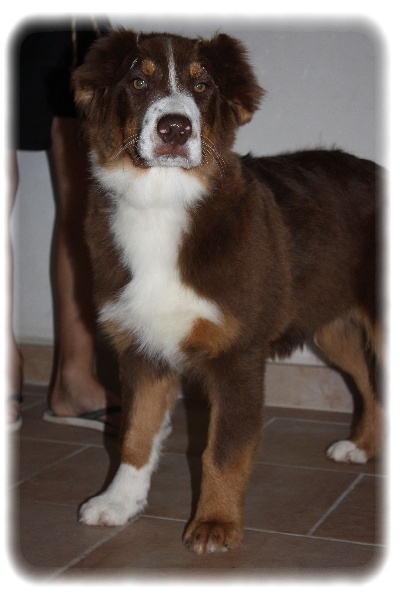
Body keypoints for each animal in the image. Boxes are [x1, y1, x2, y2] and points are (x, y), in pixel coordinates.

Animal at [73, 28, 382, 554]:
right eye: (138, 81)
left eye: (202, 87)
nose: (175, 129)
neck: (163, 202)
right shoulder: (139, 348)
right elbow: (135, 435)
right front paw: (119, 503)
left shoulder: (238, 355)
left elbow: (223, 451)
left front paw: (215, 524)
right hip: (330, 326)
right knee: (371, 385)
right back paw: (362, 446)